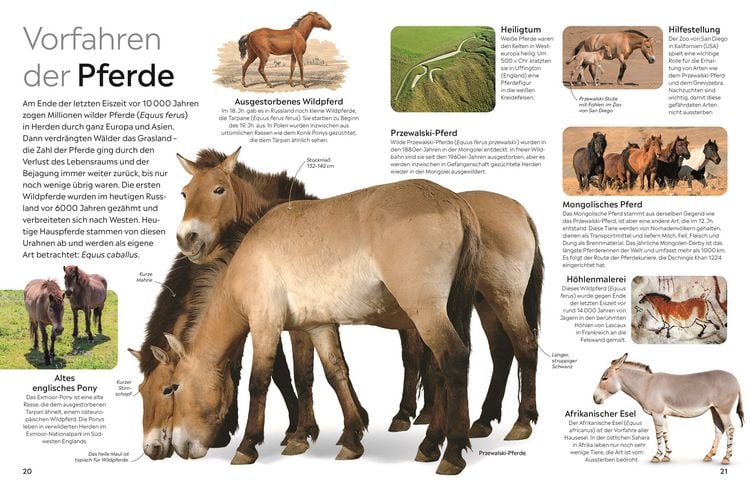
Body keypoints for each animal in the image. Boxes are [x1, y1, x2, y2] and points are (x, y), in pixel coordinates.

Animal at [173, 148, 543, 445]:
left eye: (218, 189)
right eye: (185, 192)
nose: (187, 238)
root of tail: (461, 205)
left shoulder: (278, 323)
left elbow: (283, 375)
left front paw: (293, 433)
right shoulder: (311, 322)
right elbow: (322, 372)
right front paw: (330, 429)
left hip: (483, 302)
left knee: (512, 348)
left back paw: (504, 427)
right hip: (479, 304)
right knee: (499, 353)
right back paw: (477, 422)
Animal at [594, 354, 743, 464]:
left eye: (604, 378)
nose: (594, 399)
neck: (646, 386)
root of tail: (736, 380)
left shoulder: (656, 414)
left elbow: (658, 434)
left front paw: (656, 456)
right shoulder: (663, 414)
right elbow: (666, 433)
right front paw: (666, 456)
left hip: (723, 410)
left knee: (730, 429)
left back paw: (726, 458)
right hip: (714, 409)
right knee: (719, 429)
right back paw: (709, 455)